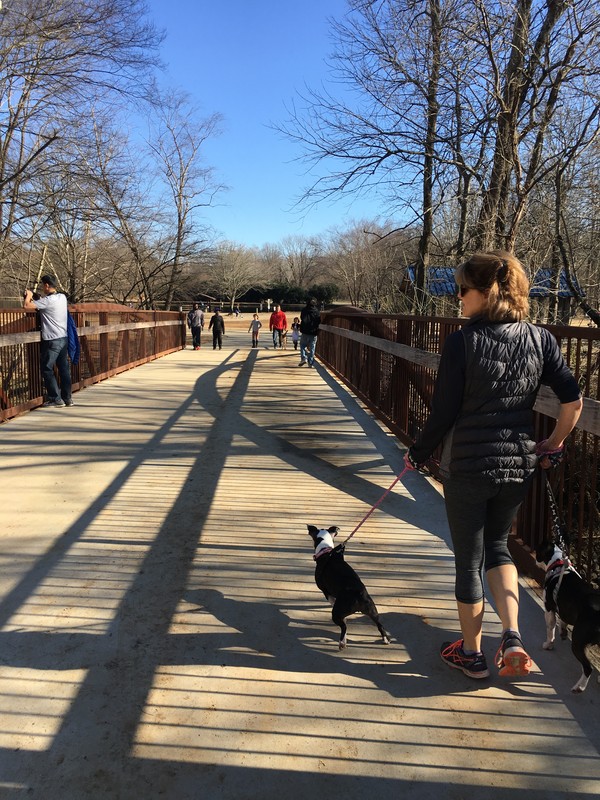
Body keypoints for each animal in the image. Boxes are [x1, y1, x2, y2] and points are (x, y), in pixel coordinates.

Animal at [536, 536, 600, 692]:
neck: (558, 563)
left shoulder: (549, 609)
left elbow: (550, 629)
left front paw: (548, 644)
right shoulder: (563, 608)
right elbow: (563, 621)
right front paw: (563, 632)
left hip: (578, 642)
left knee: (588, 668)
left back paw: (579, 687)